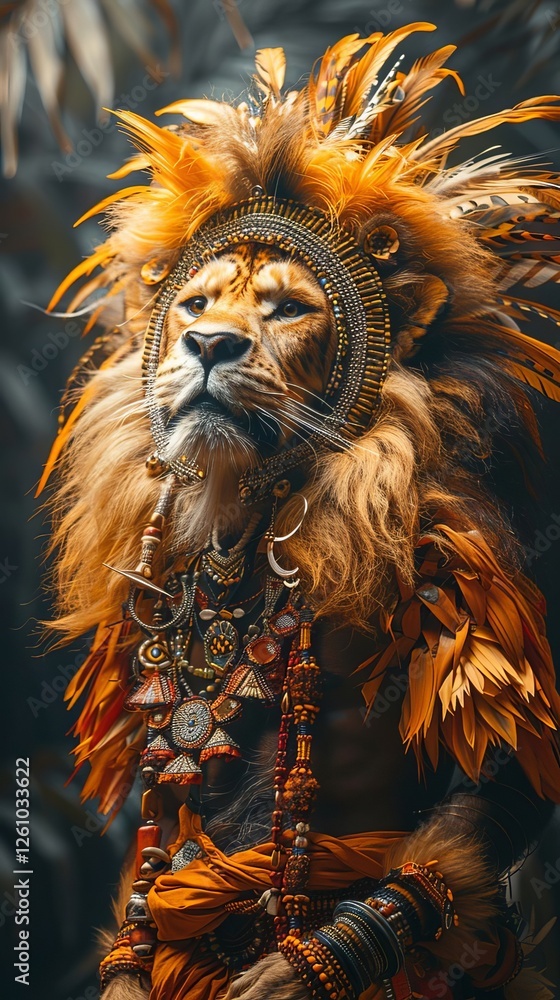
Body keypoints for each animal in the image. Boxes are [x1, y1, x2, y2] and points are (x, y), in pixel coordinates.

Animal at [42, 25, 560, 1000]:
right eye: (197, 303)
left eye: (286, 309)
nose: (208, 344)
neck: (245, 519)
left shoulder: (460, 557)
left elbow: (505, 778)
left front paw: (292, 970)